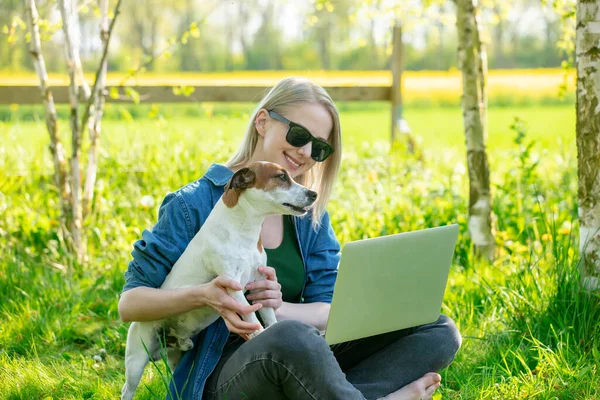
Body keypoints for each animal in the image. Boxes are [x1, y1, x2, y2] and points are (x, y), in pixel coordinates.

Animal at [122, 162, 318, 400]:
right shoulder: (233, 287)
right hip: (136, 360)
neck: (242, 231)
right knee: (128, 389)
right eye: (281, 177)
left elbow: (269, 316)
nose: (314, 194)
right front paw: (258, 334)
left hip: (175, 358)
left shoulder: (260, 282)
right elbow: (251, 317)